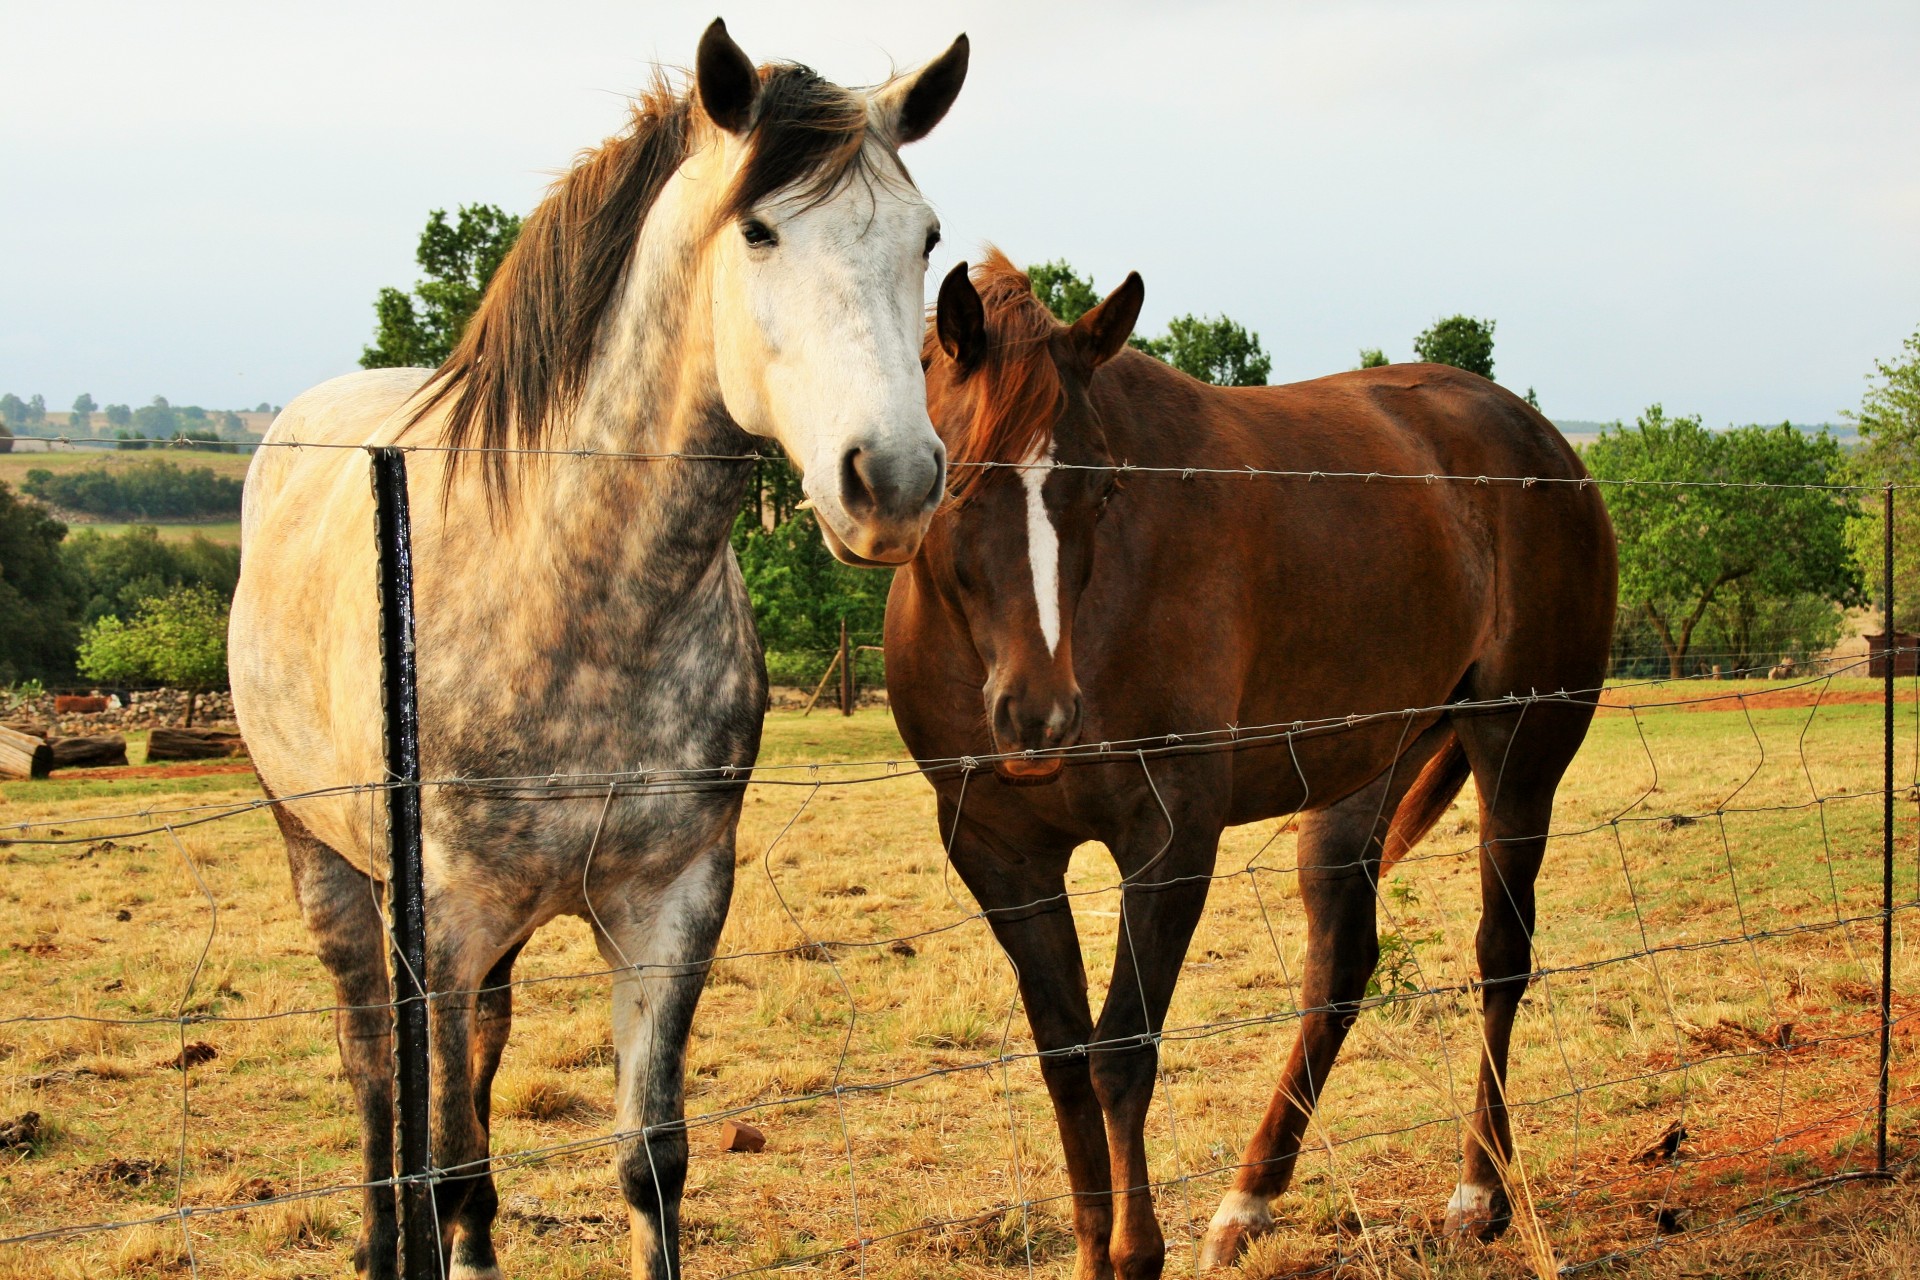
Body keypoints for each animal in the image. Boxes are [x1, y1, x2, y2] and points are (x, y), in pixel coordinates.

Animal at [883, 255, 1620, 1274]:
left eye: (1104, 489)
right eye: (953, 478)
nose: (1038, 714)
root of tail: (1548, 445)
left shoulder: (1170, 840)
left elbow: (1122, 1052)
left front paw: (1134, 1252)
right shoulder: (1001, 856)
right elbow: (1065, 1061)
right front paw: (1096, 1249)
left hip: (1519, 752)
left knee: (1501, 957)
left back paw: (1478, 1193)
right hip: (1360, 780)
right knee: (1338, 972)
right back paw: (1249, 1199)